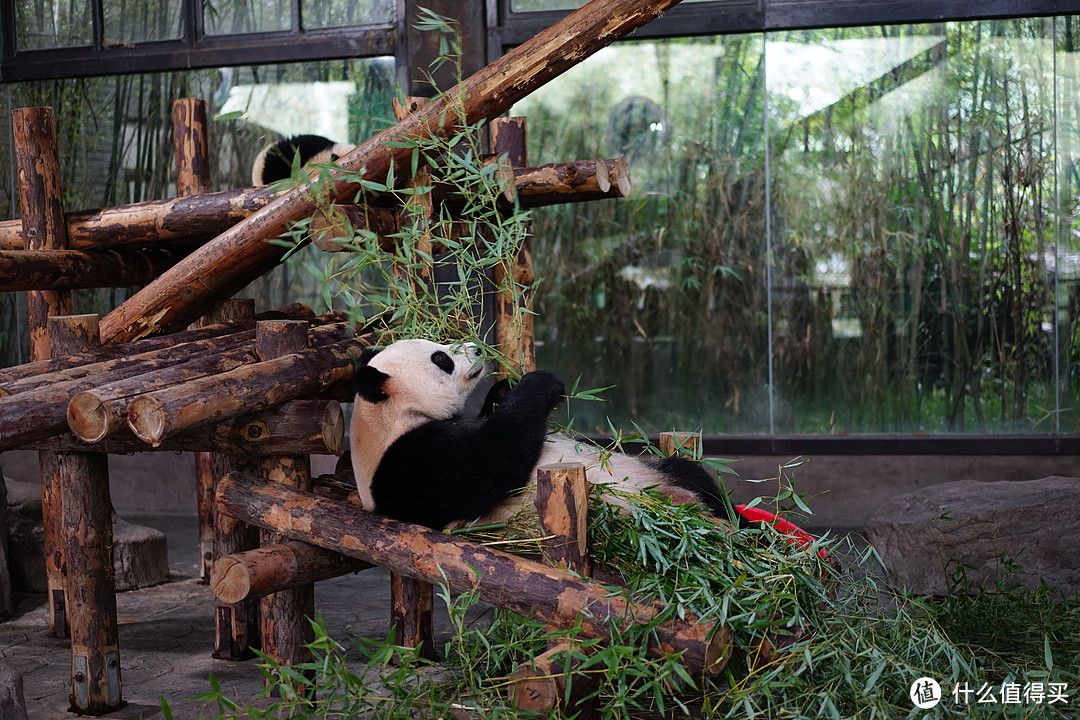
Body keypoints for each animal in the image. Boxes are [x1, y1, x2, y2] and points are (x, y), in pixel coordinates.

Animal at [349, 336, 738, 528]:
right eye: (440, 359)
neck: (390, 415)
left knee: (692, 474)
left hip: (653, 470)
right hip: (622, 519)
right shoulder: (410, 463)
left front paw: (503, 387)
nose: (476, 349)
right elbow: (493, 461)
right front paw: (541, 382)